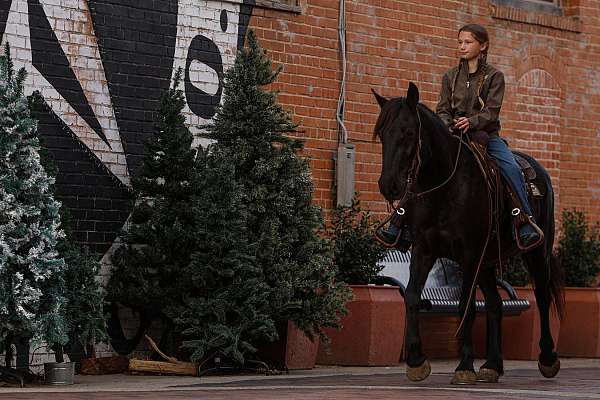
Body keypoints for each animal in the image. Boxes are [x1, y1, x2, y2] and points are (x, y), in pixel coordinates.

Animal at [372, 82, 564, 384]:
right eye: (382, 134)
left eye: (409, 132)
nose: (388, 185)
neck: (443, 187)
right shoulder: (424, 249)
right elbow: (413, 296)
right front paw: (416, 361)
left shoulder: (470, 253)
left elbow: (466, 306)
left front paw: (464, 366)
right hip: (487, 261)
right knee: (496, 305)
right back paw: (492, 365)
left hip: (536, 253)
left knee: (543, 298)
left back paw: (547, 359)